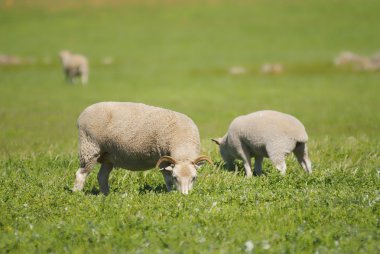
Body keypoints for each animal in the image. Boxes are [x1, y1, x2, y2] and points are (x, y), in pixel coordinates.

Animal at [72, 101, 212, 194]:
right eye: (175, 177)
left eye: (194, 178)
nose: (184, 195)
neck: (182, 144)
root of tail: (82, 115)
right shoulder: (162, 158)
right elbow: (167, 179)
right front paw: (171, 193)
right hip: (89, 147)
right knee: (81, 173)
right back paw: (77, 193)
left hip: (108, 155)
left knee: (101, 177)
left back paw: (106, 195)